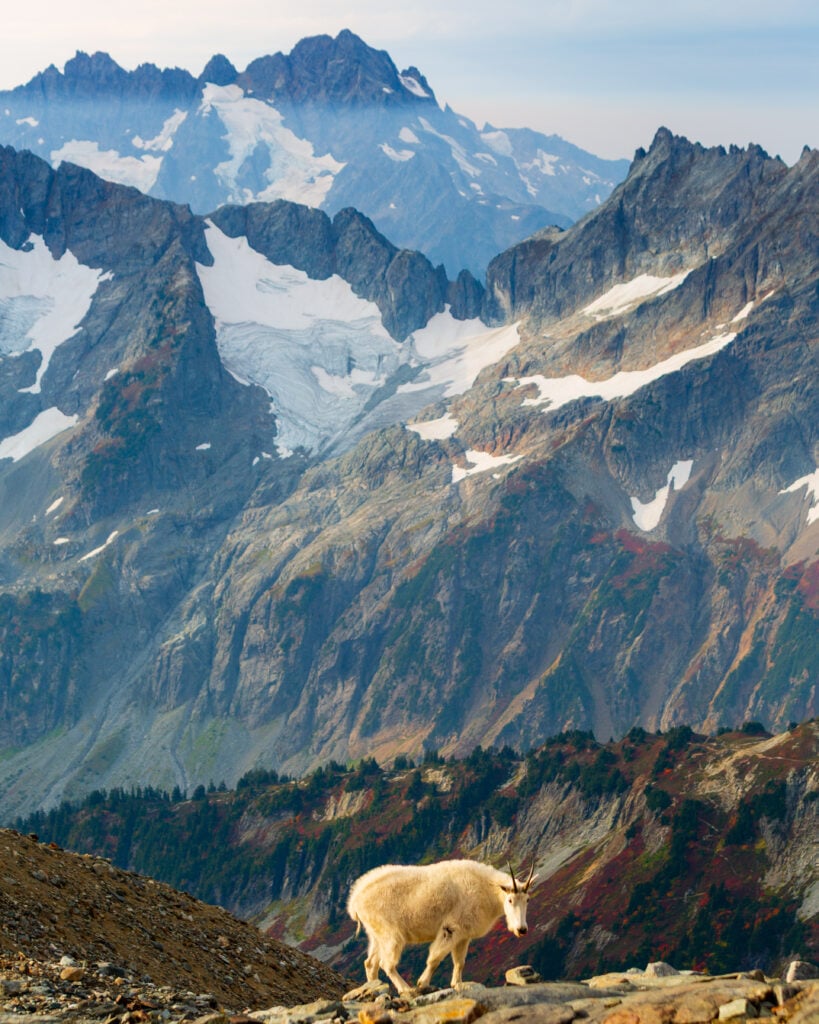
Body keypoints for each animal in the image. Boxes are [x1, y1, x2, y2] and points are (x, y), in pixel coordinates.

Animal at [347, 858, 537, 992]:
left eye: (527, 900)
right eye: (510, 900)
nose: (522, 929)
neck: (487, 890)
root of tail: (354, 901)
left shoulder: (464, 935)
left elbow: (460, 962)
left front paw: (458, 984)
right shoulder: (451, 928)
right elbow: (435, 958)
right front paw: (422, 983)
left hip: (376, 934)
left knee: (370, 963)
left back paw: (373, 988)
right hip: (391, 933)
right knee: (387, 964)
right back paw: (405, 989)